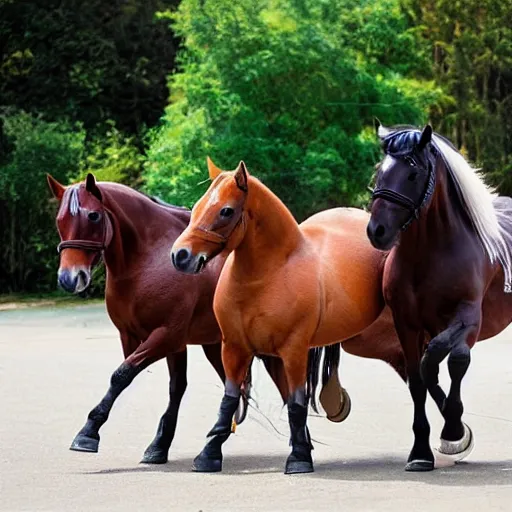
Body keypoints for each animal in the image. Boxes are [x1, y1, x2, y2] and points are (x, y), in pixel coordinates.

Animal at [48, 172, 294, 464]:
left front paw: (88, 432)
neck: (149, 260)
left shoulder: (166, 336)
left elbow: (121, 375)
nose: (69, 278)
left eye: (94, 216)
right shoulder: (149, 340)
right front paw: (159, 446)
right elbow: (174, 387)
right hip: (217, 346)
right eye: (59, 220)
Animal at [170, 158, 406, 474]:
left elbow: (296, 402)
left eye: (226, 211)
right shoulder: (234, 349)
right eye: (197, 206)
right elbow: (230, 400)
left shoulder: (293, 351)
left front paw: (299, 458)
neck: (266, 277)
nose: (180, 256)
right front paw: (208, 454)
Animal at [366, 124, 512, 472]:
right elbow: (419, 377)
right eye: (380, 171)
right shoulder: (407, 325)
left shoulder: (467, 320)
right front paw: (422, 452)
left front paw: (454, 432)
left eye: (412, 173)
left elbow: (451, 361)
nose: (377, 230)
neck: (431, 254)